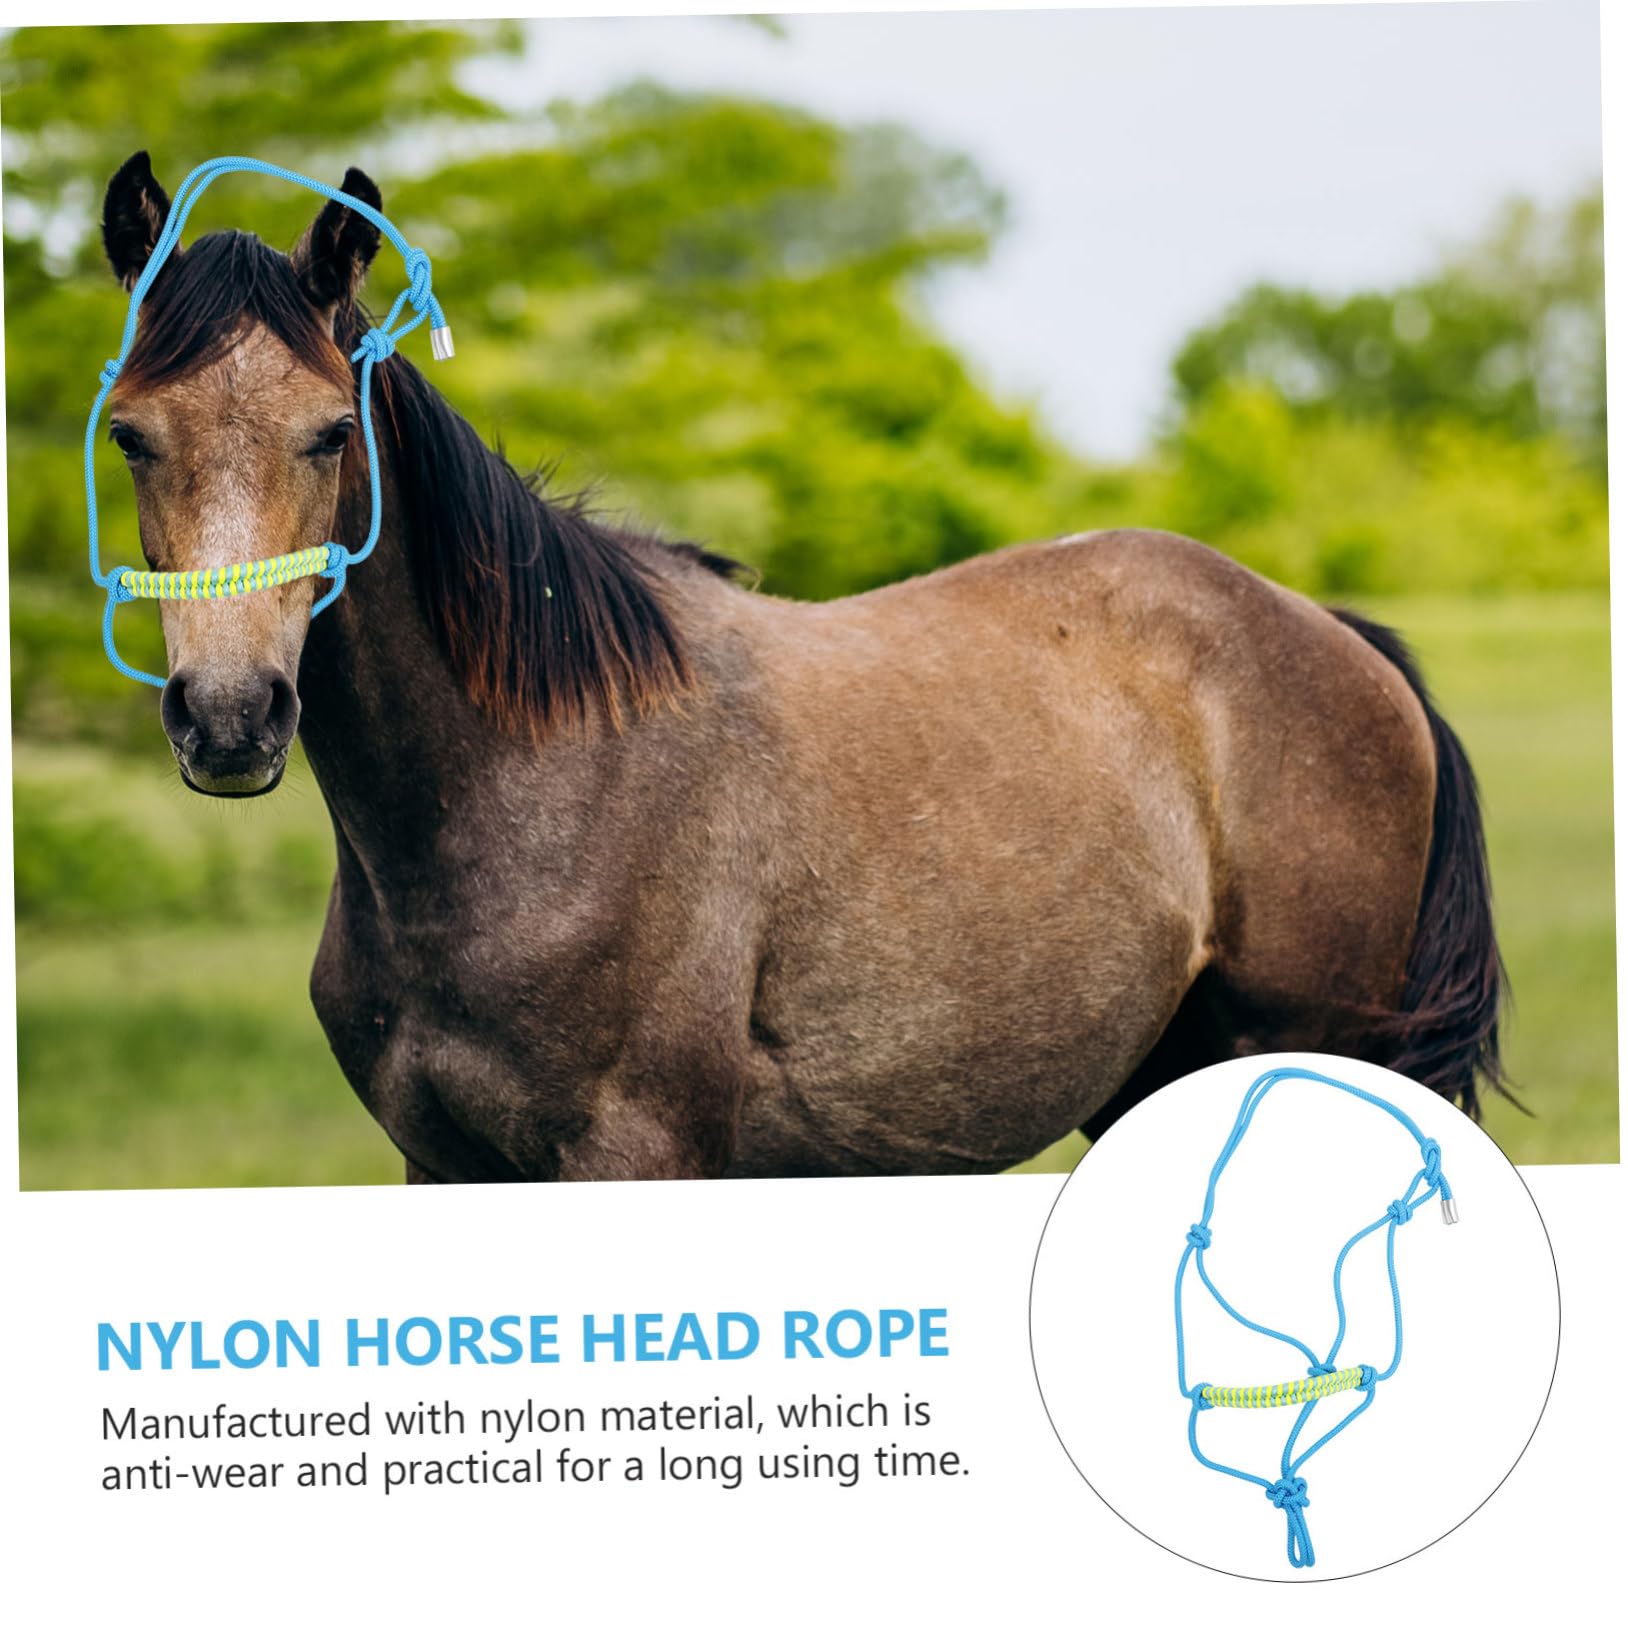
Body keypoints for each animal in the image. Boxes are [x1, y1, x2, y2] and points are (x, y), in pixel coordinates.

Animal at [95, 152, 1506, 1182]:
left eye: (331, 431)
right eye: (130, 435)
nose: (231, 717)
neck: (530, 783)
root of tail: (1334, 637)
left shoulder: (635, 1158)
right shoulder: (442, 1168)